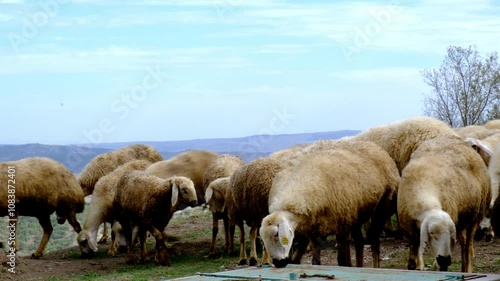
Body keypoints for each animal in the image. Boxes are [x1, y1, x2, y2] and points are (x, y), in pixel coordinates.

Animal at [262, 139, 398, 266]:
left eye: (276, 234)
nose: (278, 263)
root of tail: (373, 145)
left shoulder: (342, 226)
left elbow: (342, 260)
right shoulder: (314, 230)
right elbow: (316, 261)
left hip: (382, 207)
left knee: (374, 241)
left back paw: (376, 265)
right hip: (356, 214)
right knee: (359, 242)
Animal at [396, 135, 490, 272]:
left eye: (450, 234)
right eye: (431, 233)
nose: (445, 259)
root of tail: (457, 139)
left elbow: (439, 266)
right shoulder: (411, 234)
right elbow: (412, 263)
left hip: (477, 215)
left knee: (468, 246)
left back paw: (467, 269)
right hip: (462, 218)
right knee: (463, 243)